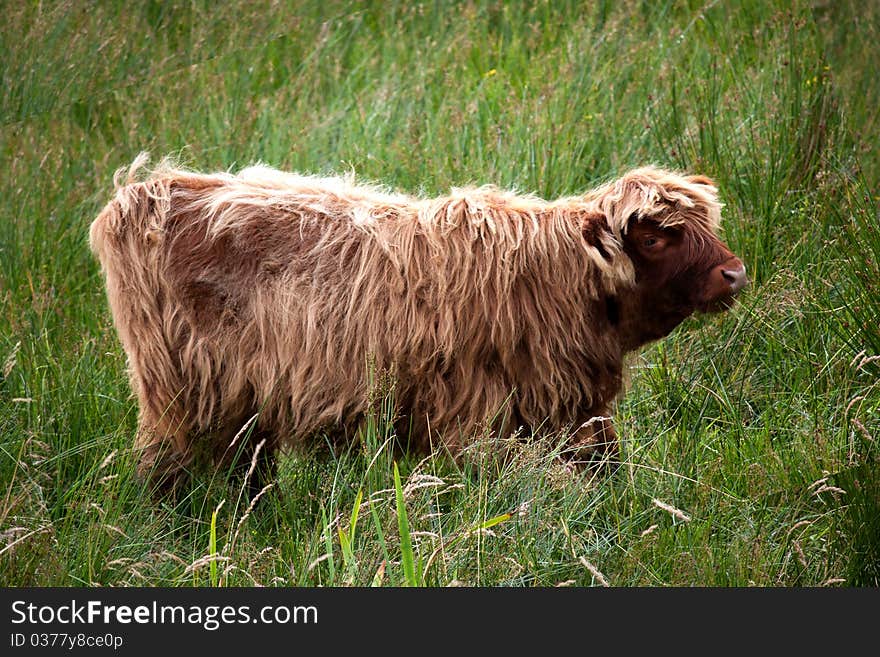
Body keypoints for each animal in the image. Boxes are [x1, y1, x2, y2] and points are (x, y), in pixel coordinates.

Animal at [89, 156, 744, 490]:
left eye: (707, 226)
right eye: (655, 237)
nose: (734, 273)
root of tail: (144, 191)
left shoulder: (578, 414)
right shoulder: (471, 422)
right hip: (180, 395)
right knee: (167, 470)